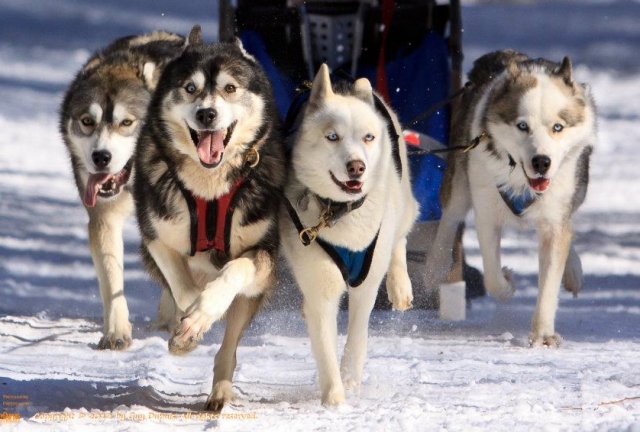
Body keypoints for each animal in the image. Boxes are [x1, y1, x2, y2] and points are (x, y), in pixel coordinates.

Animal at [59, 30, 185, 350]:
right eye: (87, 121)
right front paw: (116, 332)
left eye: (126, 122)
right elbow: (111, 278)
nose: (101, 157)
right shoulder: (104, 218)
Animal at [133, 25, 285, 411]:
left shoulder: (263, 255)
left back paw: (220, 391)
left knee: (228, 347)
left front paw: (204, 312)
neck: (210, 190)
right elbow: (183, 288)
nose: (206, 114)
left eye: (230, 88)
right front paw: (189, 325)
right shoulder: (156, 238)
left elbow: (234, 272)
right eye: (190, 88)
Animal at [280, 64, 419, 405]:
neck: (339, 212)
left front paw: (350, 380)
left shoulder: (366, 282)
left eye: (368, 137)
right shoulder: (321, 283)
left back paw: (400, 286)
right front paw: (334, 397)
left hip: (402, 204)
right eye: (333, 136)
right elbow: (324, 342)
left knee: (399, 238)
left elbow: (357, 336)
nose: (356, 166)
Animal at [424, 50, 597, 346]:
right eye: (522, 126)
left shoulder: (554, 220)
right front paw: (506, 283)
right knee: (450, 217)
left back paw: (573, 270)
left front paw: (542, 333)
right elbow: (493, 278)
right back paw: (436, 264)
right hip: (459, 178)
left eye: (558, 127)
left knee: (569, 223)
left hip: (579, 187)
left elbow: (550, 278)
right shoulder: (486, 213)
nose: (542, 162)